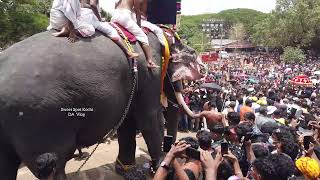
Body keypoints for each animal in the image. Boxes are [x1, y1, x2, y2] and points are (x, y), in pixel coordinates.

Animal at [0, 29, 205, 179]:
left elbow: (127, 123)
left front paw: (128, 171)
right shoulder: (150, 74)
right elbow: (150, 119)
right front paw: (162, 168)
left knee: (8, 165)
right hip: (39, 118)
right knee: (55, 161)